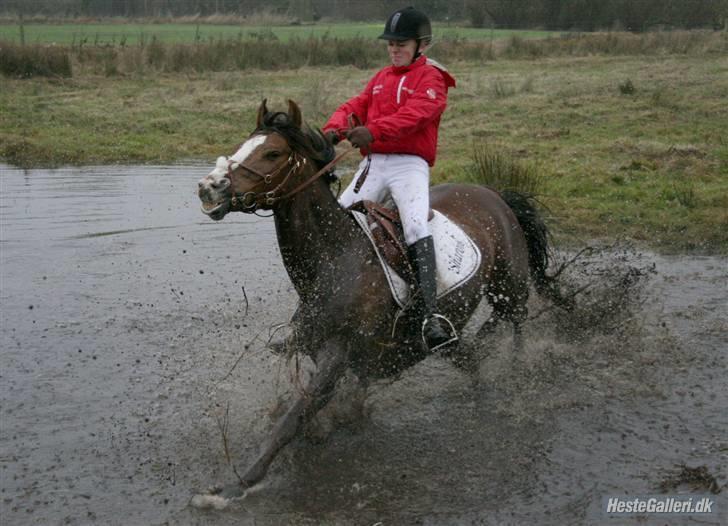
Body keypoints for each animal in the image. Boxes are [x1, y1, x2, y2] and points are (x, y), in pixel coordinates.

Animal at [193, 99, 556, 500]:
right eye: (243, 145)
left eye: (272, 153)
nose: (210, 188)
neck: (335, 259)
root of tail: (496, 194)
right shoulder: (326, 351)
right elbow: (316, 408)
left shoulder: (338, 352)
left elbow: (293, 417)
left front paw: (238, 483)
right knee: (472, 354)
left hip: (509, 287)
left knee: (514, 323)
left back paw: (513, 365)